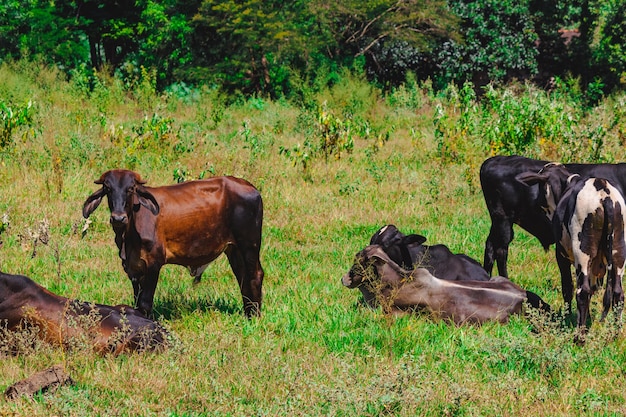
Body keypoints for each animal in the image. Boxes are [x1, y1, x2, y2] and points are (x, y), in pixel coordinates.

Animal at [82, 168, 264, 316]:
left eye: (131, 188)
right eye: (108, 188)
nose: (118, 218)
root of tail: (251, 187)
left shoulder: (153, 264)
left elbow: (145, 303)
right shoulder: (133, 268)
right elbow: (137, 301)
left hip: (249, 245)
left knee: (255, 275)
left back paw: (254, 317)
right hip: (233, 249)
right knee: (242, 277)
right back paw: (247, 313)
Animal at [516, 162, 624, 334]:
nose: (537, 201)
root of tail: (603, 191)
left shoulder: (561, 255)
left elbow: (567, 288)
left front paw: (567, 317)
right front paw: (587, 319)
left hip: (582, 253)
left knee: (583, 292)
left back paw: (579, 336)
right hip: (618, 253)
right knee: (618, 293)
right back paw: (616, 334)